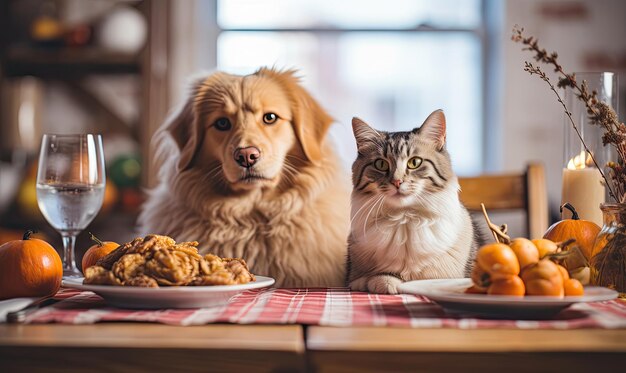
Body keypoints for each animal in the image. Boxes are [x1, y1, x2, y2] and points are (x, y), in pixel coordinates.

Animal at [344, 109, 480, 294]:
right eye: (381, 164)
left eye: (414, 162)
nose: (397, 181)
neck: (404, 218)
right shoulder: (352, 276)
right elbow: (367, 278)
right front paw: (386, 282)